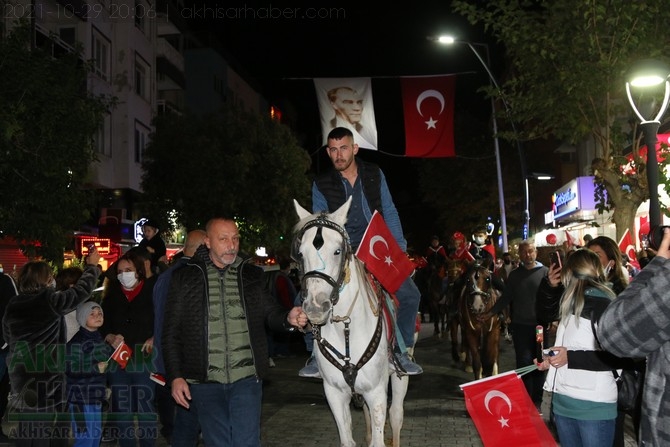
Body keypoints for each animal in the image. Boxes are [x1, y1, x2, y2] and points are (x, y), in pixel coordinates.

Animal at [292, 200, 410, 447]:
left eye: (337, 251)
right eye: (301, 253)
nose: (315, 308)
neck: (345, 326)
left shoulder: (376, 392)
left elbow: (379, 437)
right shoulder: (335, 394)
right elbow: (347, 439)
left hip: (399, 377)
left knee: (396, 415)